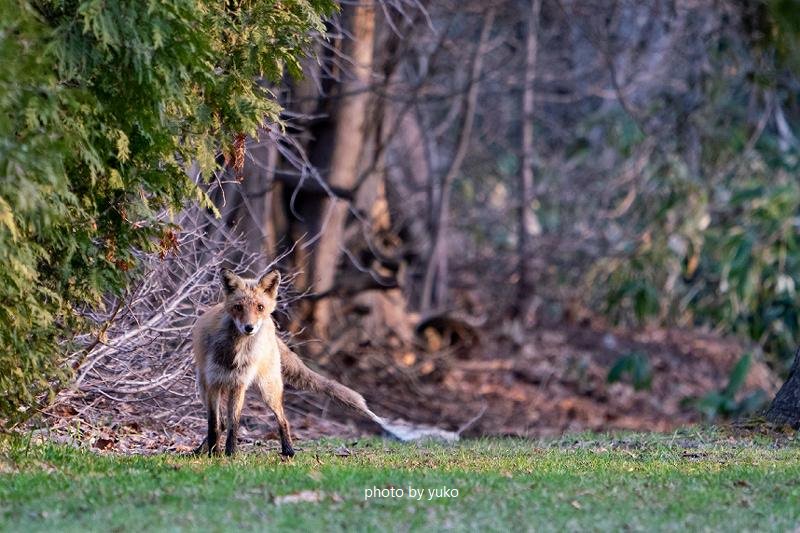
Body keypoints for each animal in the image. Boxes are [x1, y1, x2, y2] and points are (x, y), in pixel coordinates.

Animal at [194, 268, 382, 456]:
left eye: (260, 307)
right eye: (238, 307)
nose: (249, 328)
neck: (235, 353)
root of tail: (272, 329)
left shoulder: (239, 384)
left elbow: (234, 423)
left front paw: (230, 454)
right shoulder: (212, 383)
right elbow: (213, 425)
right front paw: (214, 454)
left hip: (268, 390)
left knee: (283, 419)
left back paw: (288, 450)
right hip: (202, 388)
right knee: (221, 423)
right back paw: (202, 450)